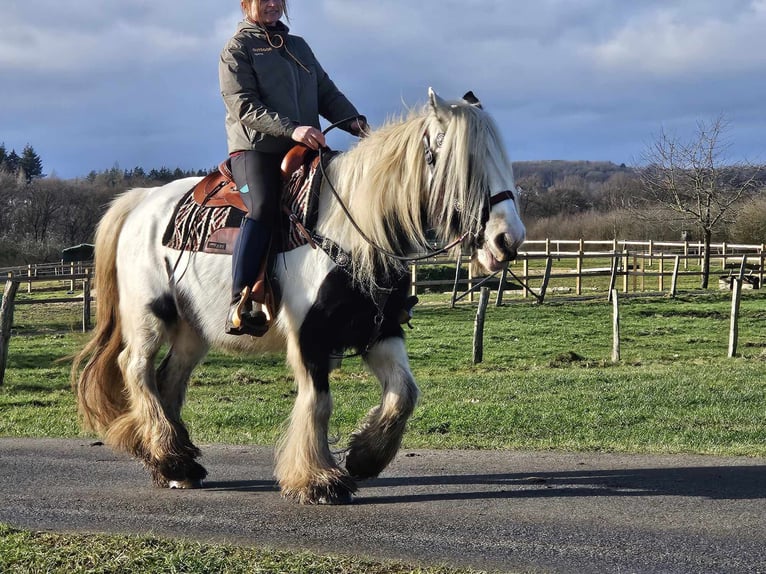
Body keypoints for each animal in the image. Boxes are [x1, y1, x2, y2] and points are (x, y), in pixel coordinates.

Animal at [72, 88, 528, 506]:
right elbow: (319, 401)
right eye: (463, 165)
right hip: (150, 317)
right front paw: (318, 480)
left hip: (192, 330)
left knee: (168, 380)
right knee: (136, 370)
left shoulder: (379, 330)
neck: (353, 227)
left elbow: (403, 394)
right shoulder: (310, 335)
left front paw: (364, 457)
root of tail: (140, 201)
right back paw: (170, 459)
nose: (508, 239)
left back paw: (176, 464)